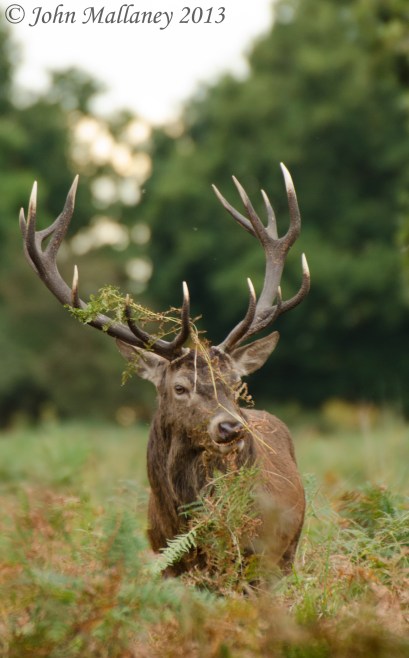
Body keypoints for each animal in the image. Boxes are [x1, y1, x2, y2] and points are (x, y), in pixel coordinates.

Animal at [19, 163, 310, 575]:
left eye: (235, 383)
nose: (230, 428)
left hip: (285, 552)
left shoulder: (256, 557)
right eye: (180, 387)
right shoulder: (167, 560)